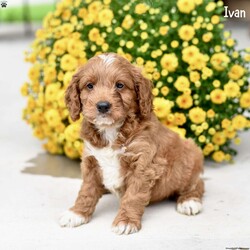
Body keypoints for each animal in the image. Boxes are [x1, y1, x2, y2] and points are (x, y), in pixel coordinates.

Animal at [59, 52, 204, 234]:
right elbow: (86, 190)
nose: (103, 106)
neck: (111, 131)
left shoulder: (143, 165)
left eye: (120, 85)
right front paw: (77, 213)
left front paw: (126, 221)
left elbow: (133, 196)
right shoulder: (91, 161)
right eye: (89, 86)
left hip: (189, 160)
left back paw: (189, 201)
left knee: (197, 183)